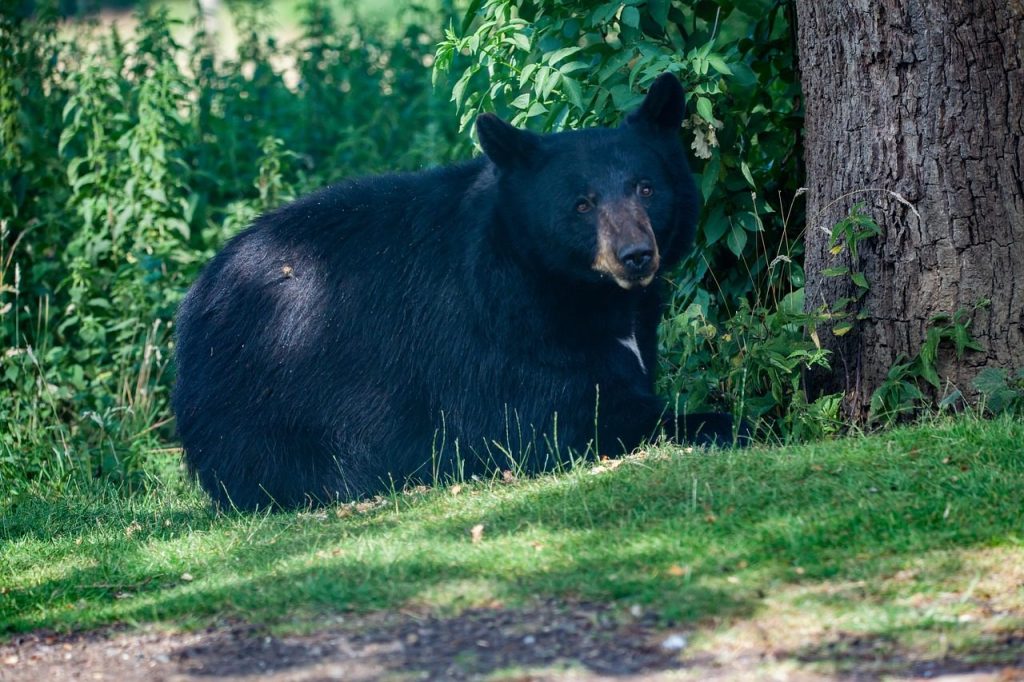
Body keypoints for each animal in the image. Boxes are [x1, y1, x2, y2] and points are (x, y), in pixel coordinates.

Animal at [171, 72, 739, 510]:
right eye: (582, 203)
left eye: (646, 187)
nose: (636, 255)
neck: (580, 291)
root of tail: (195, 300)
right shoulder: (502, 330)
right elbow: (563, 417)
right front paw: (717, 422)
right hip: (269, 390)